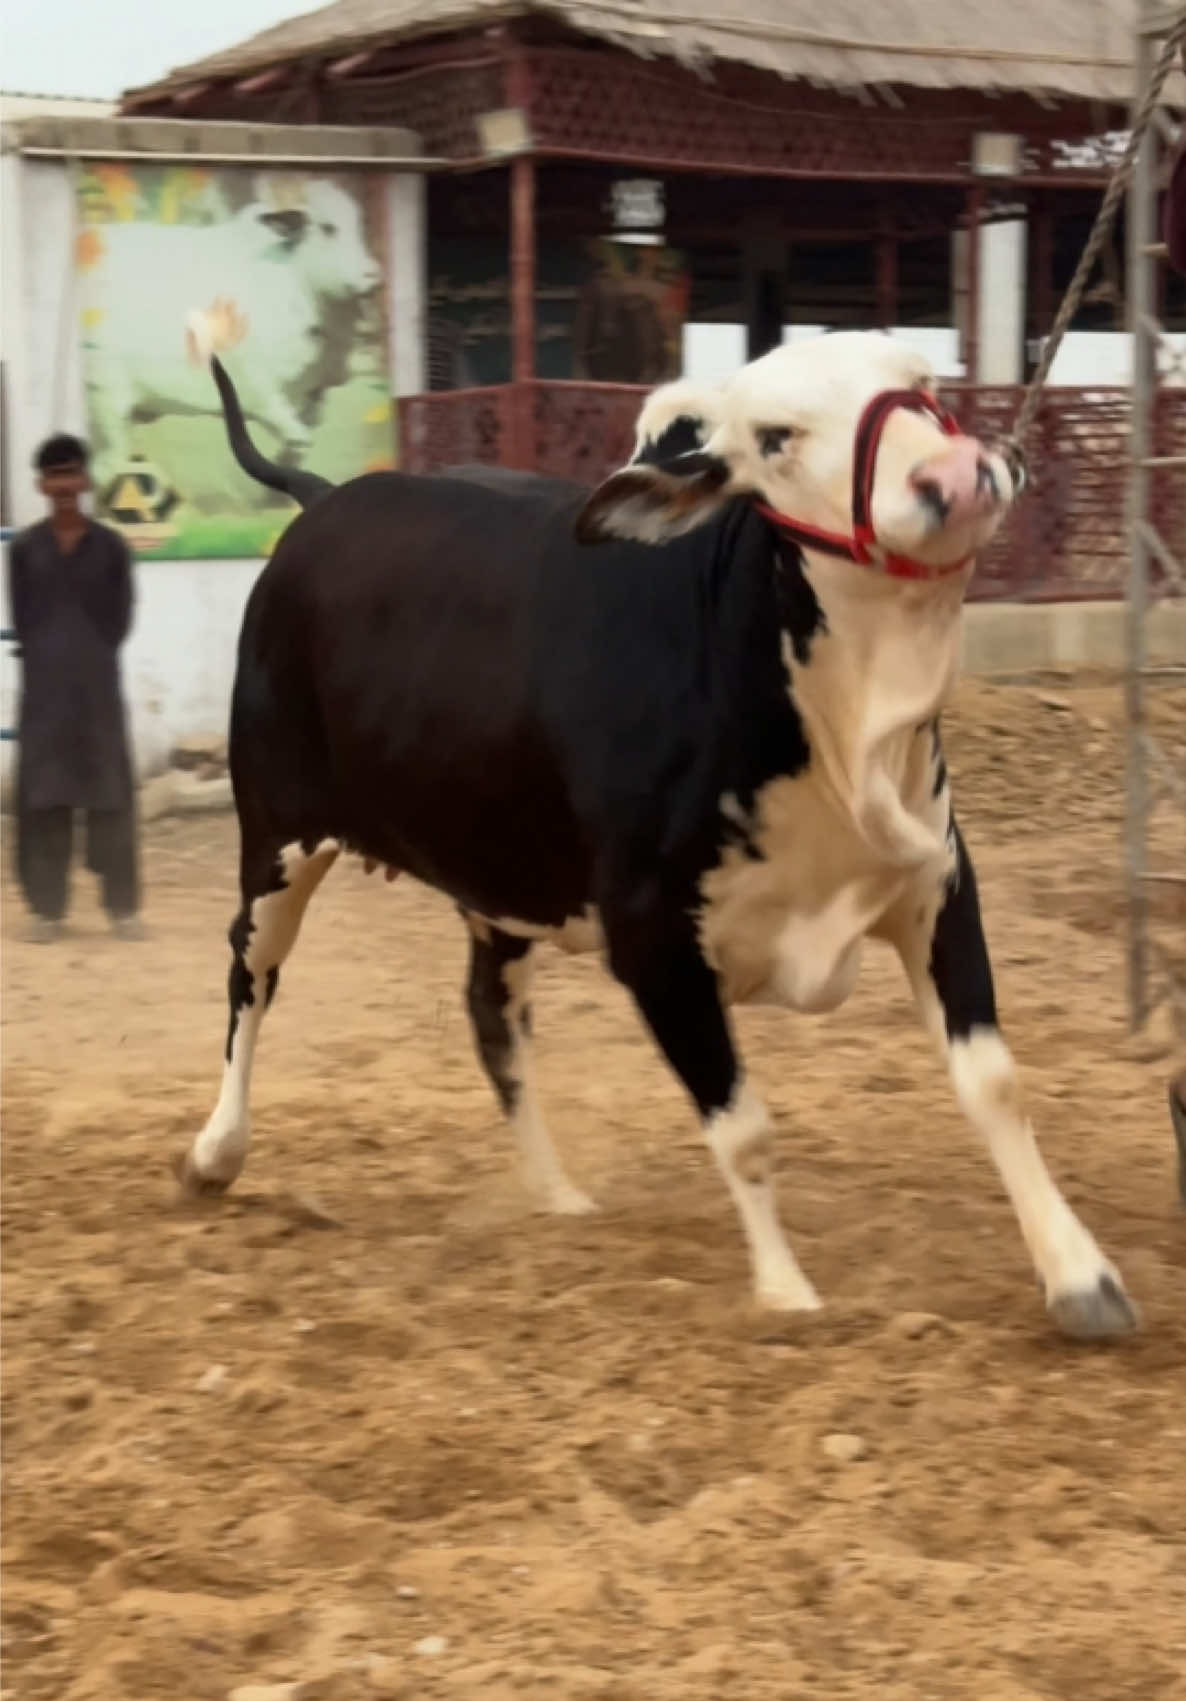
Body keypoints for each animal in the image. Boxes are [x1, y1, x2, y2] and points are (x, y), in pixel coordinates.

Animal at [82, 177, 381, 482]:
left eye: (361, 225)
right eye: (328, 227)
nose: (373, 276)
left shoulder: (312, 396)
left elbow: (298, 447)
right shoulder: (261, 395)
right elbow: (297, 442)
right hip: (106, 401)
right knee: (104, 467)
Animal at [176, 311, 1136, 1341]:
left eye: (923, 384)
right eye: (774, 436)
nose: (953, 476)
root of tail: (326, 499)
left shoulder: (935, 889)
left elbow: (993, 1081)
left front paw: (1081, 1277)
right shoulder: (653, 943)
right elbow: (744, 1127)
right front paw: (786, 1291)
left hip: (500, 875)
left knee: (491, 1018)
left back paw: (554, 1192)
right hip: (277, 837)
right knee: (249, 977)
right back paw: (214, 1152)